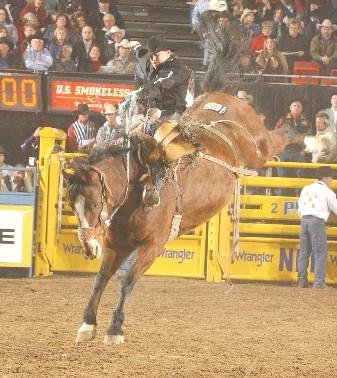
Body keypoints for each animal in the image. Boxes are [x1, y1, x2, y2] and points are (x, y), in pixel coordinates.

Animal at [65, 91, 286, 346]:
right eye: (72, 205)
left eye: (94, 203)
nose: (89, 247)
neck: (138, 187)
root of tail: (220, 95)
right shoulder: (116, 246)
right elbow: (101, 279)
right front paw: (87, 324)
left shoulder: (152, 246)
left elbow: (126, 282)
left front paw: (115, 329)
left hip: (260, 146)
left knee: (276, 139)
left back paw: (295, 135)